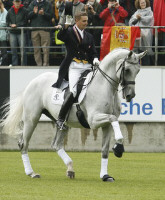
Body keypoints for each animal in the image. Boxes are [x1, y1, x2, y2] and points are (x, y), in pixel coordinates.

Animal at [0, 48, 146, 181]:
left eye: (138, 71)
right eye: (127, 70)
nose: (130, 95)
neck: (104, 86)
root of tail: (34, 80)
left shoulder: (106, 125)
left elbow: (105, 150)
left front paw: (105, 175)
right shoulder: (93, 120)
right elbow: (113, 118)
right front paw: (119, 147)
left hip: (63, 123)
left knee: (56, 144)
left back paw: (70, 169)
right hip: (32, 119)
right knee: (24, 144)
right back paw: (31, 173)